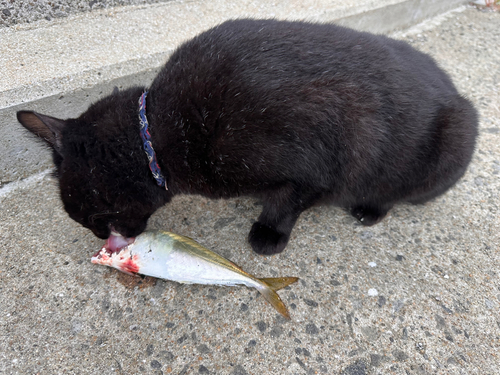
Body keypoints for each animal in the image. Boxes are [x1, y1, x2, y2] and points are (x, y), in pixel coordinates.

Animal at [16, 19, 476, 256]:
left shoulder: (319, 164)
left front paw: (268, 233)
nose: (100, 240)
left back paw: (369, 209)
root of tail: (455, 90)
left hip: (454, 137)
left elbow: (287, 203)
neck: (158, 133)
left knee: (395, 193)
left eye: (94, 218)